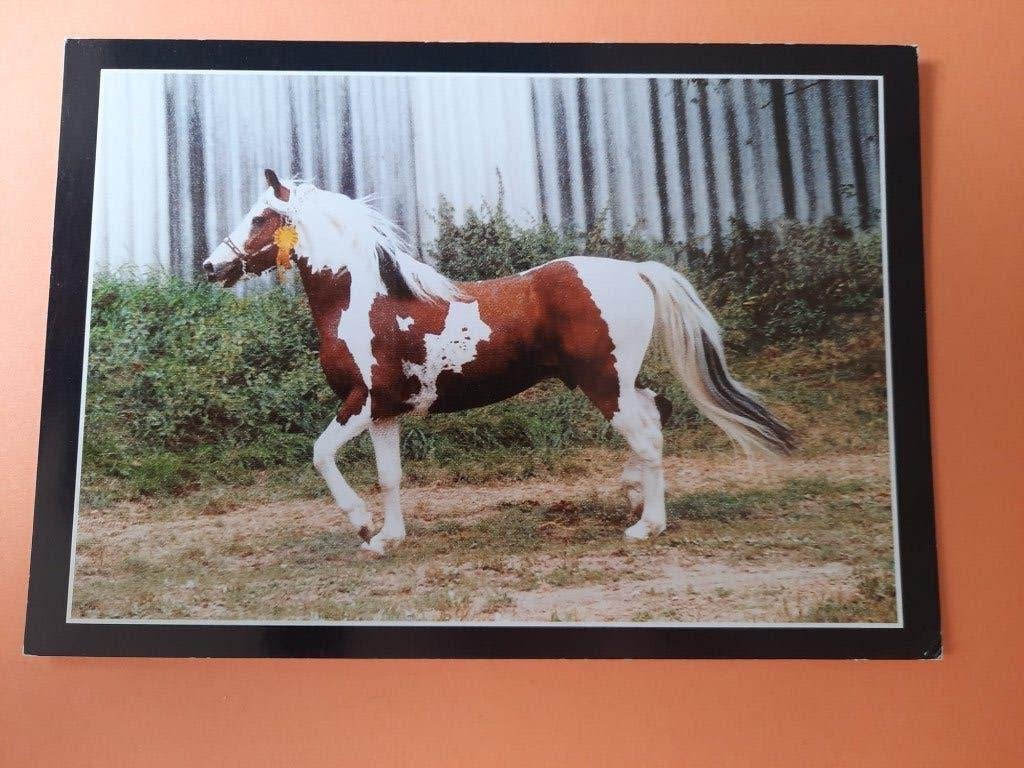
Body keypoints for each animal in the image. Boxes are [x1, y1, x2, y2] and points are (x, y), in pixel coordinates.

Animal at [203, 170, 794, 554]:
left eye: (260, 216)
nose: (212, 267)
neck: (359, 300)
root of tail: (636, 271)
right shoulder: (386, 412)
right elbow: (390, 477)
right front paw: (390, 537)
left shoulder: (361, 401)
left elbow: (321, 455)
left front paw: (363, 528)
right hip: (619, 381)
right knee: (656, 414)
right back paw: (632, 496)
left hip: (603, 382)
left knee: (648, 436)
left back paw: (647, 526)